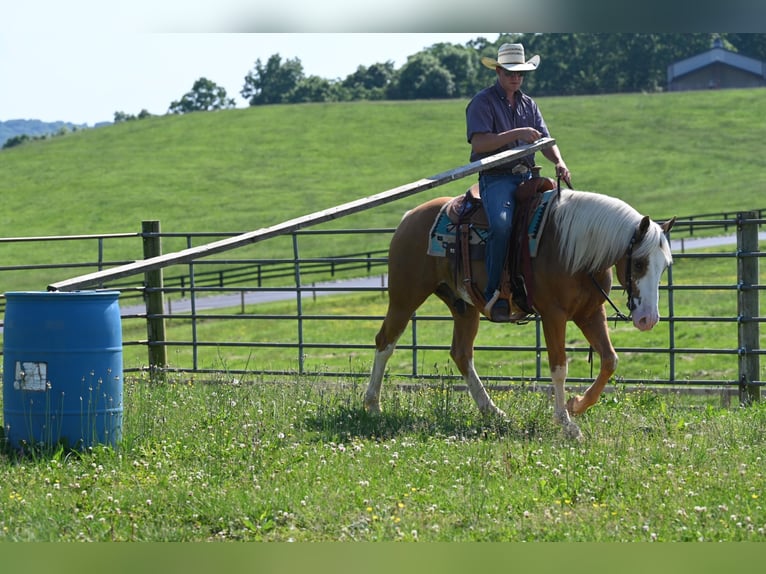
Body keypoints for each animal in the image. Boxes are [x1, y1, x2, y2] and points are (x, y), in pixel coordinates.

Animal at [368, 186, 676, 440]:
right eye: (638, 263)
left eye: (664, 266)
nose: (648, 319)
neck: (575, 246)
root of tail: (410, 216)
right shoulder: (553, 315)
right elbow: (559, 367)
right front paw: (566, 423)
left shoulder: (590, 312)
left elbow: (610, 360)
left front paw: (577, 405)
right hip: (405, 297)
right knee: (385, 341)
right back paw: (372, 404)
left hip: (464, 306)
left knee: (461, 354)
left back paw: (493, 411)